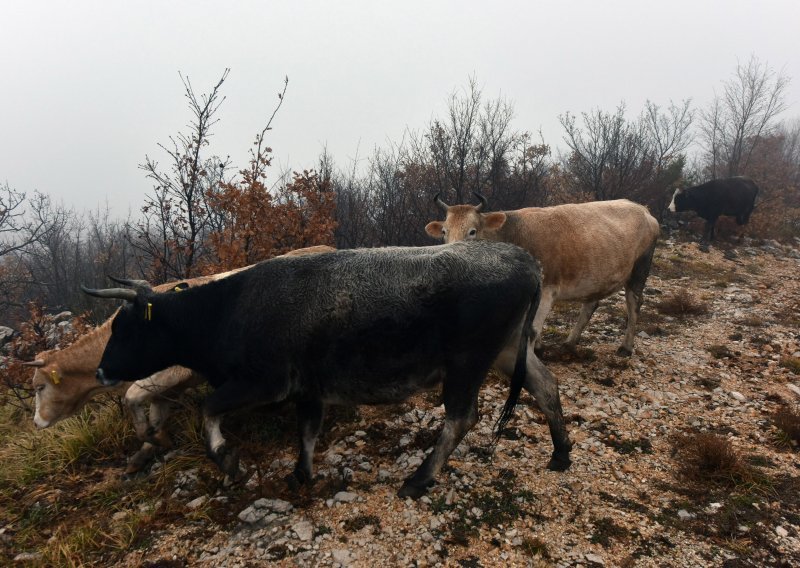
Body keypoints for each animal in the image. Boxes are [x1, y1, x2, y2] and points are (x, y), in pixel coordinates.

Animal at [26, 246, 334, 472]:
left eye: (40, 386)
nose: (37, 422)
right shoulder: (168, 389)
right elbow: (155, 413)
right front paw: (147, 450)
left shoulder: (171, 373)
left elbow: (132, 397)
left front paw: (155, 439)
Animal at [428, 195, 660, 356]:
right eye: (444, 232)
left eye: (472, 231)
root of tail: (642, 209)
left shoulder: (547, 290)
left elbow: (530, 329)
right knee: (590, 305)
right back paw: (570, 342)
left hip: (639, 271)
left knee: (634, 305)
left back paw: (626, 347)